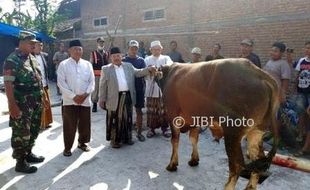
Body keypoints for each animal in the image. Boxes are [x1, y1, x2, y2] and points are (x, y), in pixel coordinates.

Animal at [156, 58, 280, 189]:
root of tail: (259, 73)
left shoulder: (173, 115)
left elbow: (175, 140)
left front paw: (172, 164)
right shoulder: (195, 119)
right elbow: (193, 138)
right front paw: (194, 160)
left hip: (233, 135)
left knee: (237, 166)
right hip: (256, 133)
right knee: (258, 162)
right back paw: (249, 187)